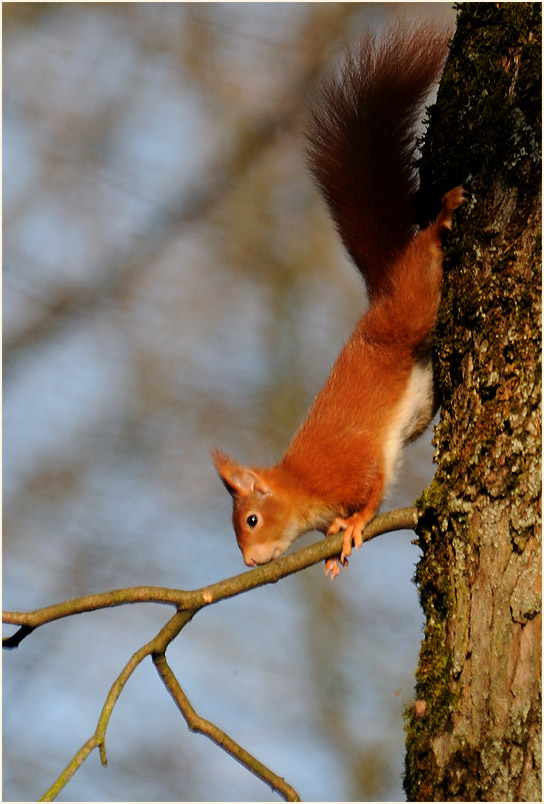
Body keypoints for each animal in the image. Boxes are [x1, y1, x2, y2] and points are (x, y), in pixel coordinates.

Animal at [213, 25, 466, 579]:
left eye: (252, 520)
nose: (249, 562)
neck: (302, 485)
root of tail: (385, 286)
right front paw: (332, 545)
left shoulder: (353, 467)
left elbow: (373, 491)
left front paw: (351, 526)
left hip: (414, 304)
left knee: (426, 255)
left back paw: (443, 217)